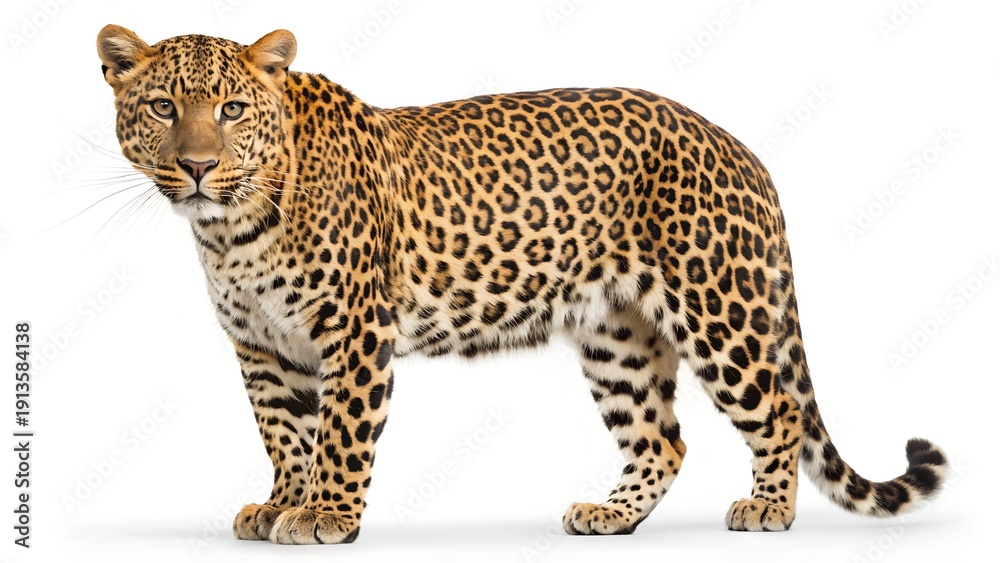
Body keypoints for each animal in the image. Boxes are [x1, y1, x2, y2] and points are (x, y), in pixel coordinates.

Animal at [96, 25, 948, 544]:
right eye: (163, 106)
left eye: (232, 108)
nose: (198, 165)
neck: (231, 227)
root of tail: (741, 147)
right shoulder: (261, 345)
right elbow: (283, 431)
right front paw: (282, 503)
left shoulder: (355, 330)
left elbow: (338, 431)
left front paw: (326, 514)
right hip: (617, 335)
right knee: (663, 438)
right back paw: (611, 514)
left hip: (718, 309)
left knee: (776, 409)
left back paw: (768, 506)